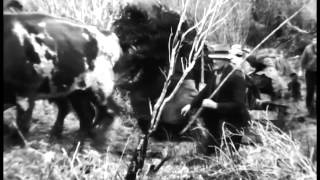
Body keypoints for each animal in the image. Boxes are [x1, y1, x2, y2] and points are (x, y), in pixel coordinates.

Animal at [3, 12, 122, 144]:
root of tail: (108, 34)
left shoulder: (25, 91)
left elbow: (22, 124)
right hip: (75, 92)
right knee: (87, 115)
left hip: (98, 89)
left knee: (109, 112)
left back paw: (99, 140)